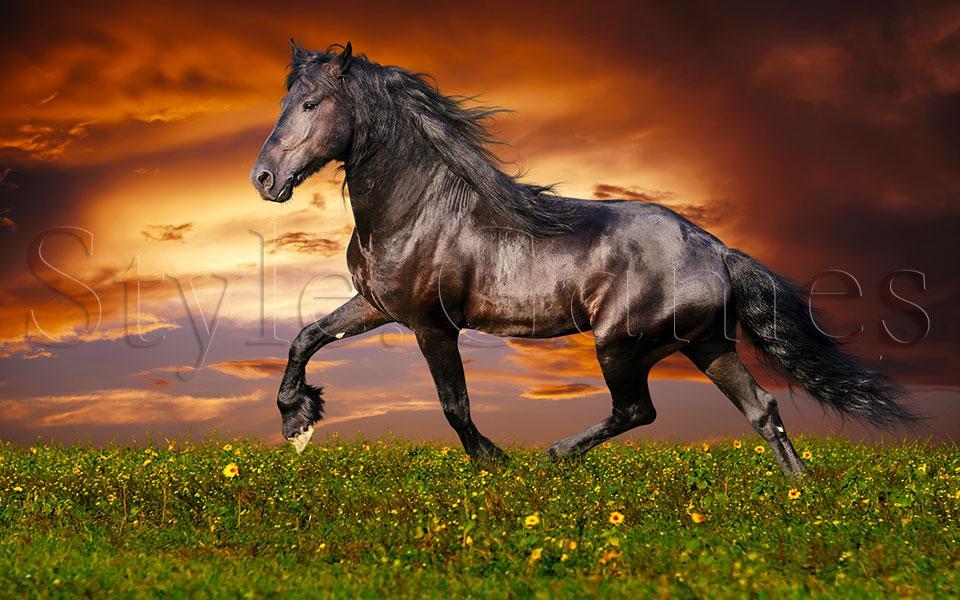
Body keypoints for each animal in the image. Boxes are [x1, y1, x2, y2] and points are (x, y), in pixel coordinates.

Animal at [250, 42, 915, 474]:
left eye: (311, 105)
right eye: (286, 102)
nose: (263, 179)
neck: (417, 209)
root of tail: (717, 250)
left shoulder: (431, 325)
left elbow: (453, 404)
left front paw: (495, 462)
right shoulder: (376, 305)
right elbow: (306, 337)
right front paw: (297, 421)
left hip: (621, 344)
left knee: (638, 409)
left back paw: (556, 455)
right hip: (706, 344)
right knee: (763, 409)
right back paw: (800, 495)